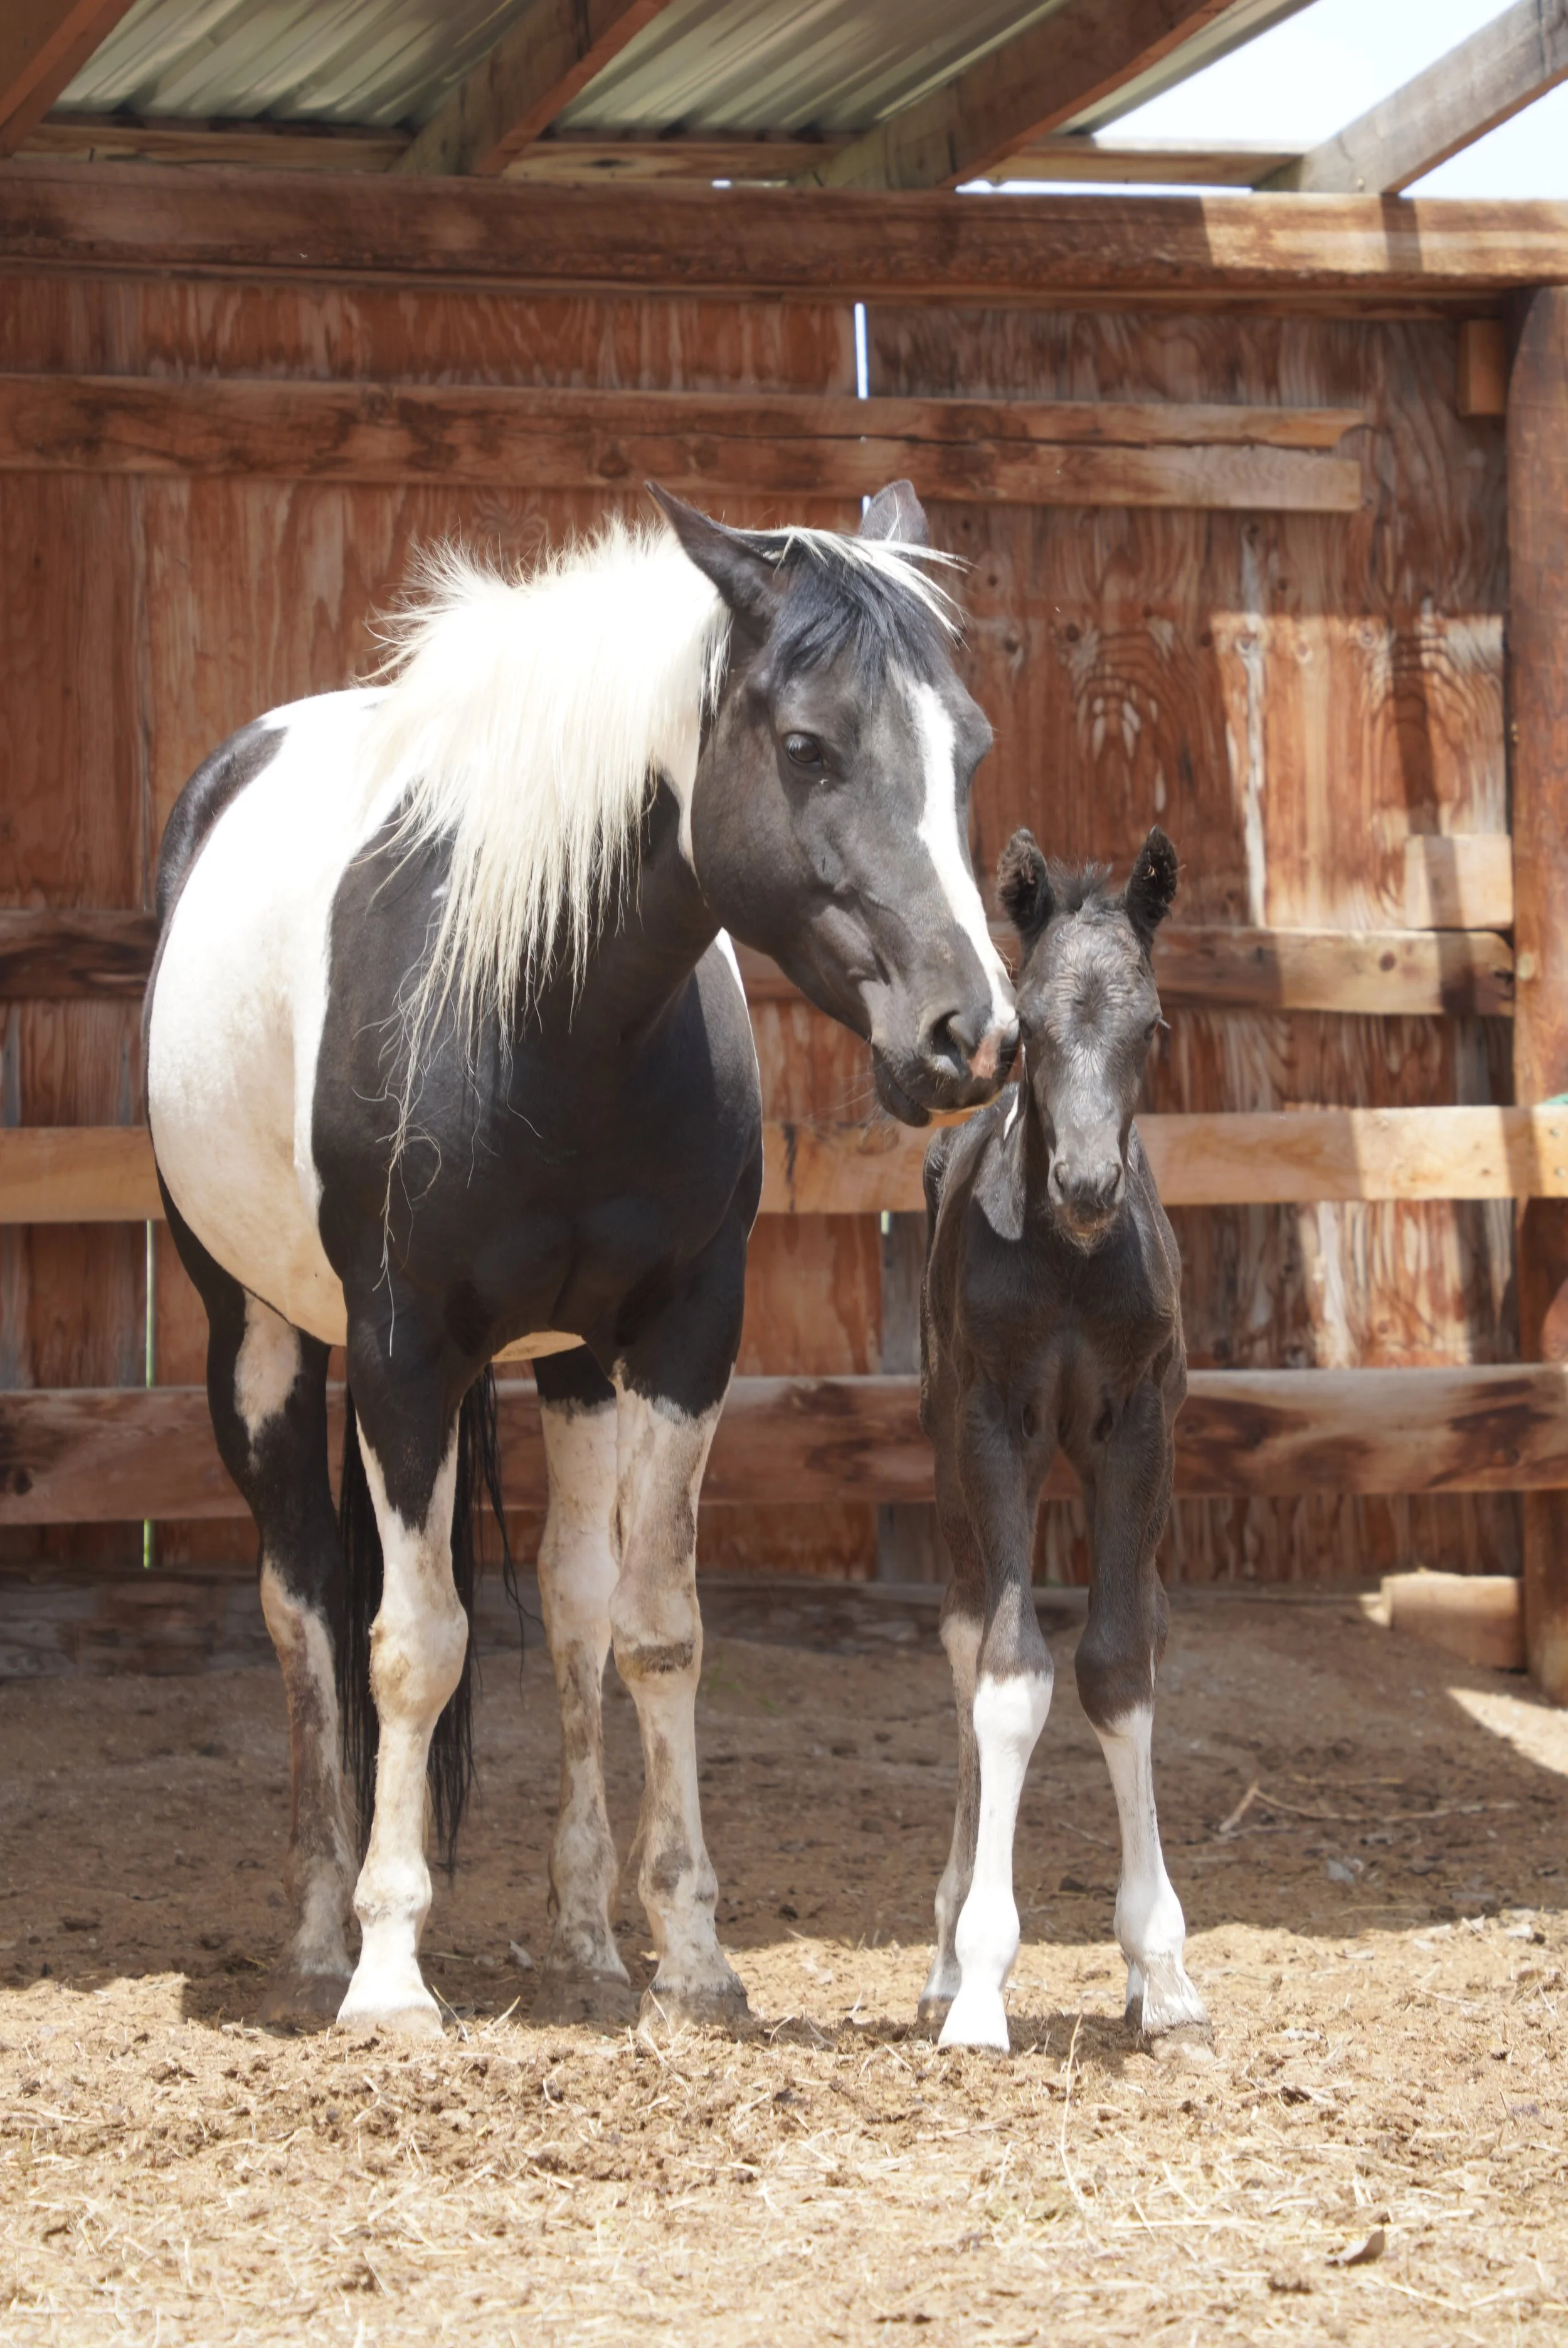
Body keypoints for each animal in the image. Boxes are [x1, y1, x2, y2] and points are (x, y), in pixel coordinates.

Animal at [145, 480, 1018, 2037]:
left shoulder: (676, 1338)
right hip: (255, 1339)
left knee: (567, 1604)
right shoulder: (405, 1354)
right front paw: (387, 1968)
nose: (967, 1037)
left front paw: (689, 1950)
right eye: (806, 745)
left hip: (569, 1367)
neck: (545, 1010)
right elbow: (409, 1643)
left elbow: (651, 1626)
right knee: (304, 1598)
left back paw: (585, 1935)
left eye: (964, 748)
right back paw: (315, 1924)